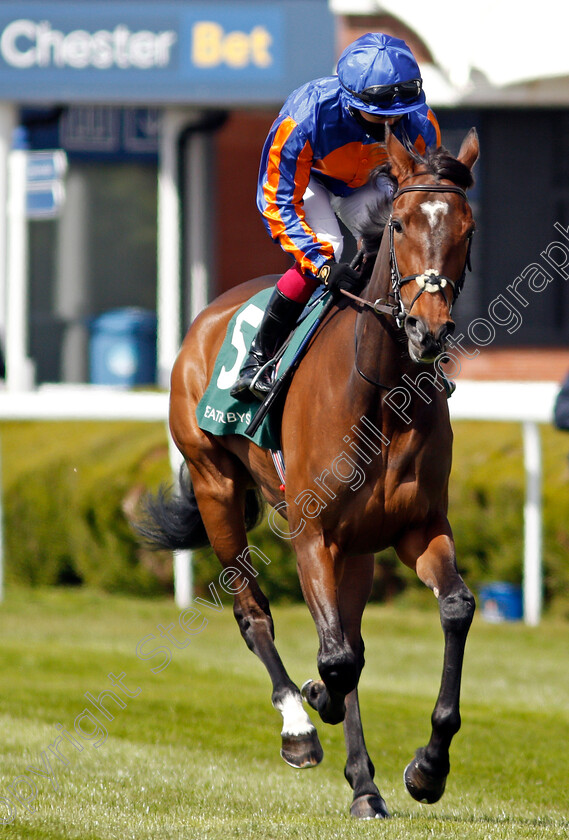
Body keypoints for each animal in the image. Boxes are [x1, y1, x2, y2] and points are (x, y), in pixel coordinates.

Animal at [138, 128, 480, 816]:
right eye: (399, 223)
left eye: (467, 227)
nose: (427, 331)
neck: (383, 395)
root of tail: (208, 316)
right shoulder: (311, 532)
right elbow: (336, 657)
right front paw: (315, 701)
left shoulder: (417, 526)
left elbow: (451, 609)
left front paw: (428, 768)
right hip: (216, 489)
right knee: (254, 615)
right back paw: (299, 725)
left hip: (358, 547)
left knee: (351, 638)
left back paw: (365, 785)